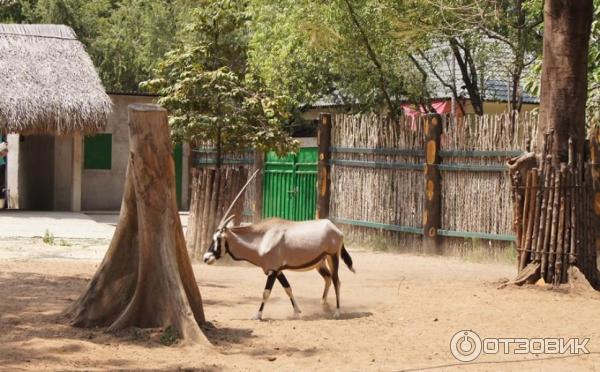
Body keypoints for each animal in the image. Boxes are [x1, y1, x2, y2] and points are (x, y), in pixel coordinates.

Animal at [202, 215, 354, 320]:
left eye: (218, 239)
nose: (206, 258)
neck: (262, 238)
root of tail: (336, 229)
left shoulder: (273, 271)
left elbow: (266, 292)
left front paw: (258, 315)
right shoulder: (279, 271)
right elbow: (288, 288)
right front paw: (297, 311)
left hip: (333, 257)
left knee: (336, 281)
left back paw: (337, 312)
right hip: (320, 263)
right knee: (328, 278)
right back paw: (323, 305)